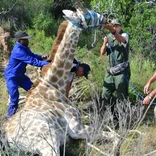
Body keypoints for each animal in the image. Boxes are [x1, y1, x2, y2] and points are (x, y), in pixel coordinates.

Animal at [1, 7, 119, 156]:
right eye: (86, 14)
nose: (106, 19)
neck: (55, 87)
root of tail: (6, 139)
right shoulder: (76, 128)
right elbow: (116, 136)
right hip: (47, 140)